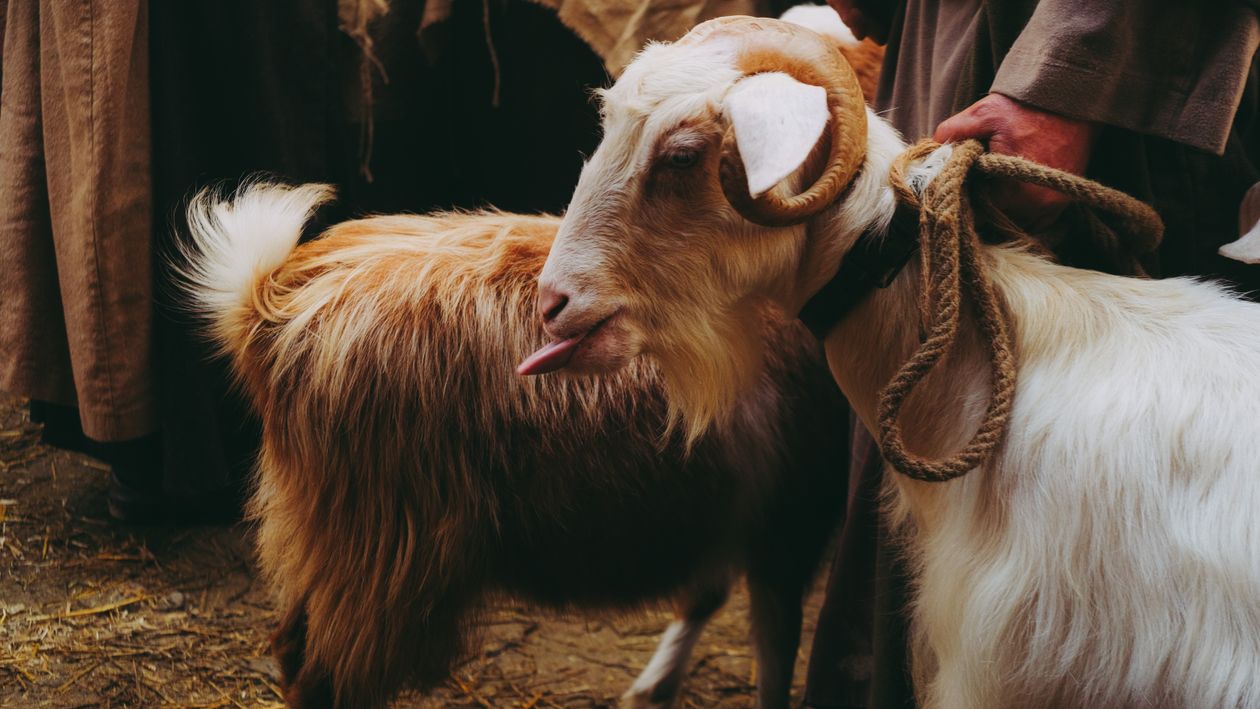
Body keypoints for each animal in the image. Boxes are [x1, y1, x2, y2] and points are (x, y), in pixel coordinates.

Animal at [176, 187, 848, 708]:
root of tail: (272, 301)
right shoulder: (790, 521)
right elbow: (772, 657)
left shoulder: (740, 514)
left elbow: (709, 594)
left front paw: (652, 687)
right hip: (381, 553)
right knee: (323, 678)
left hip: (330, 537)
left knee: (293, 647)